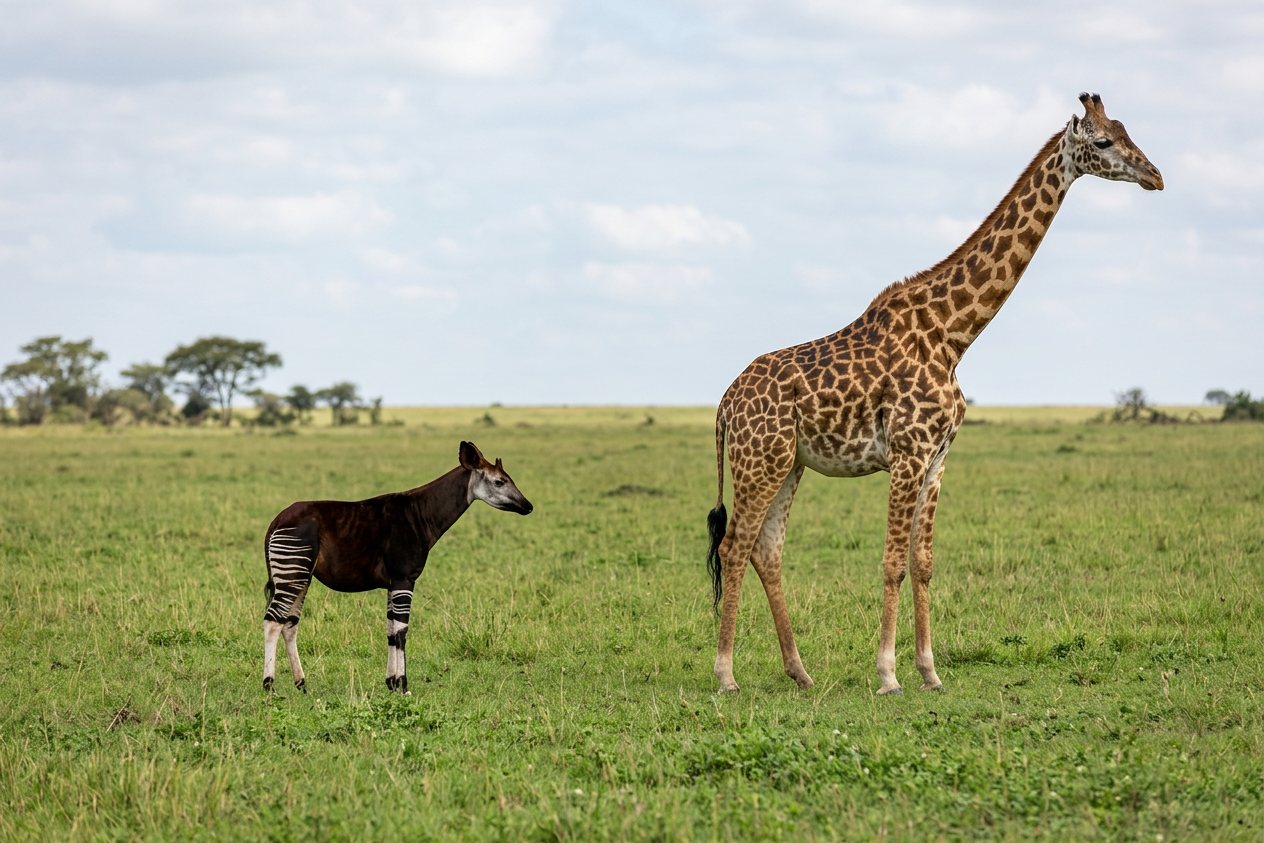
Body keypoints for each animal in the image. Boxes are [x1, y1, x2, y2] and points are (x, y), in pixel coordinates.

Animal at [705, 93, 1163, 695]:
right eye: (1105, 140)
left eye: (1128, 129)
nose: (1156, 175)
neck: (953, 335)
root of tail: (724, 404)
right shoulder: (907, 453)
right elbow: (892, 562)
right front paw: (887, 674)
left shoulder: (939, 457)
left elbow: (922, 563)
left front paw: (929, 671)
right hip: (759, 460)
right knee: (735, 546)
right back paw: (726, 675)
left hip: (789, 463)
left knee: (766, 549)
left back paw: (799, 673)